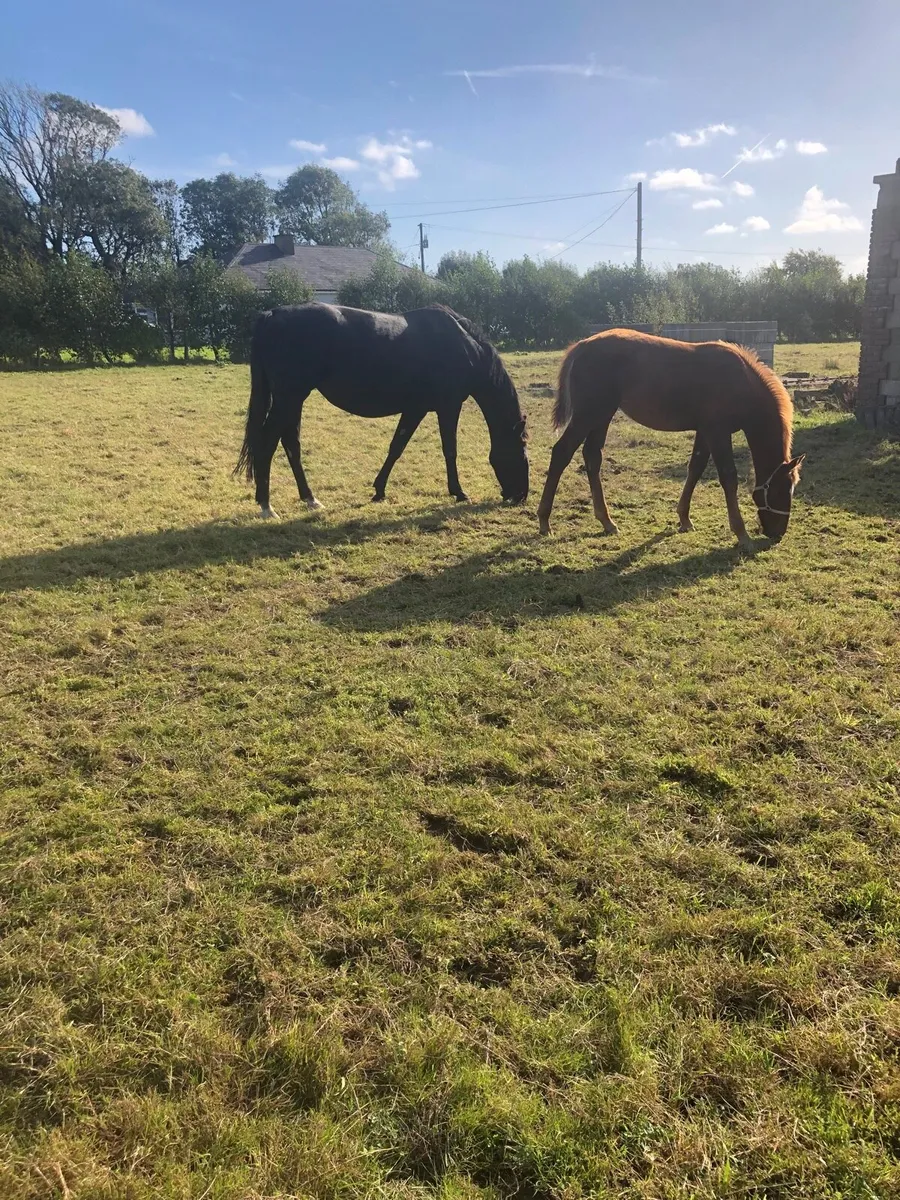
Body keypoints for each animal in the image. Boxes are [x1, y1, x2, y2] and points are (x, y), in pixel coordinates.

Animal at [235, 302, 529, 516]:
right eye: (523, 453)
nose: (520, 496)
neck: (464, 345)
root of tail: (272, 315)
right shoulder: (448, 407)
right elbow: (450, 450)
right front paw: (459, 492)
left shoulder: (416, 408)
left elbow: (396, 447)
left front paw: (378, 491)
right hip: (289, 398)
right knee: (268, 443)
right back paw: (266, 506)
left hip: (293, 399)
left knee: (291, 444)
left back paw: (310, 499)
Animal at [537, 330, 805, 548]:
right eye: (782, 490)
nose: (778, 533)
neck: (740, 382)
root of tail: (581, 346)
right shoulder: (718, 432)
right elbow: (729, 477)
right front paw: (742, 534)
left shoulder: (705, 431)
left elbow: (695, 468)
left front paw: (684, 519)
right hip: (588, 414)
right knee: (561, 453)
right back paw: (544, 521)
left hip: (602, 416)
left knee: (592, 457)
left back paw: (607, 521)